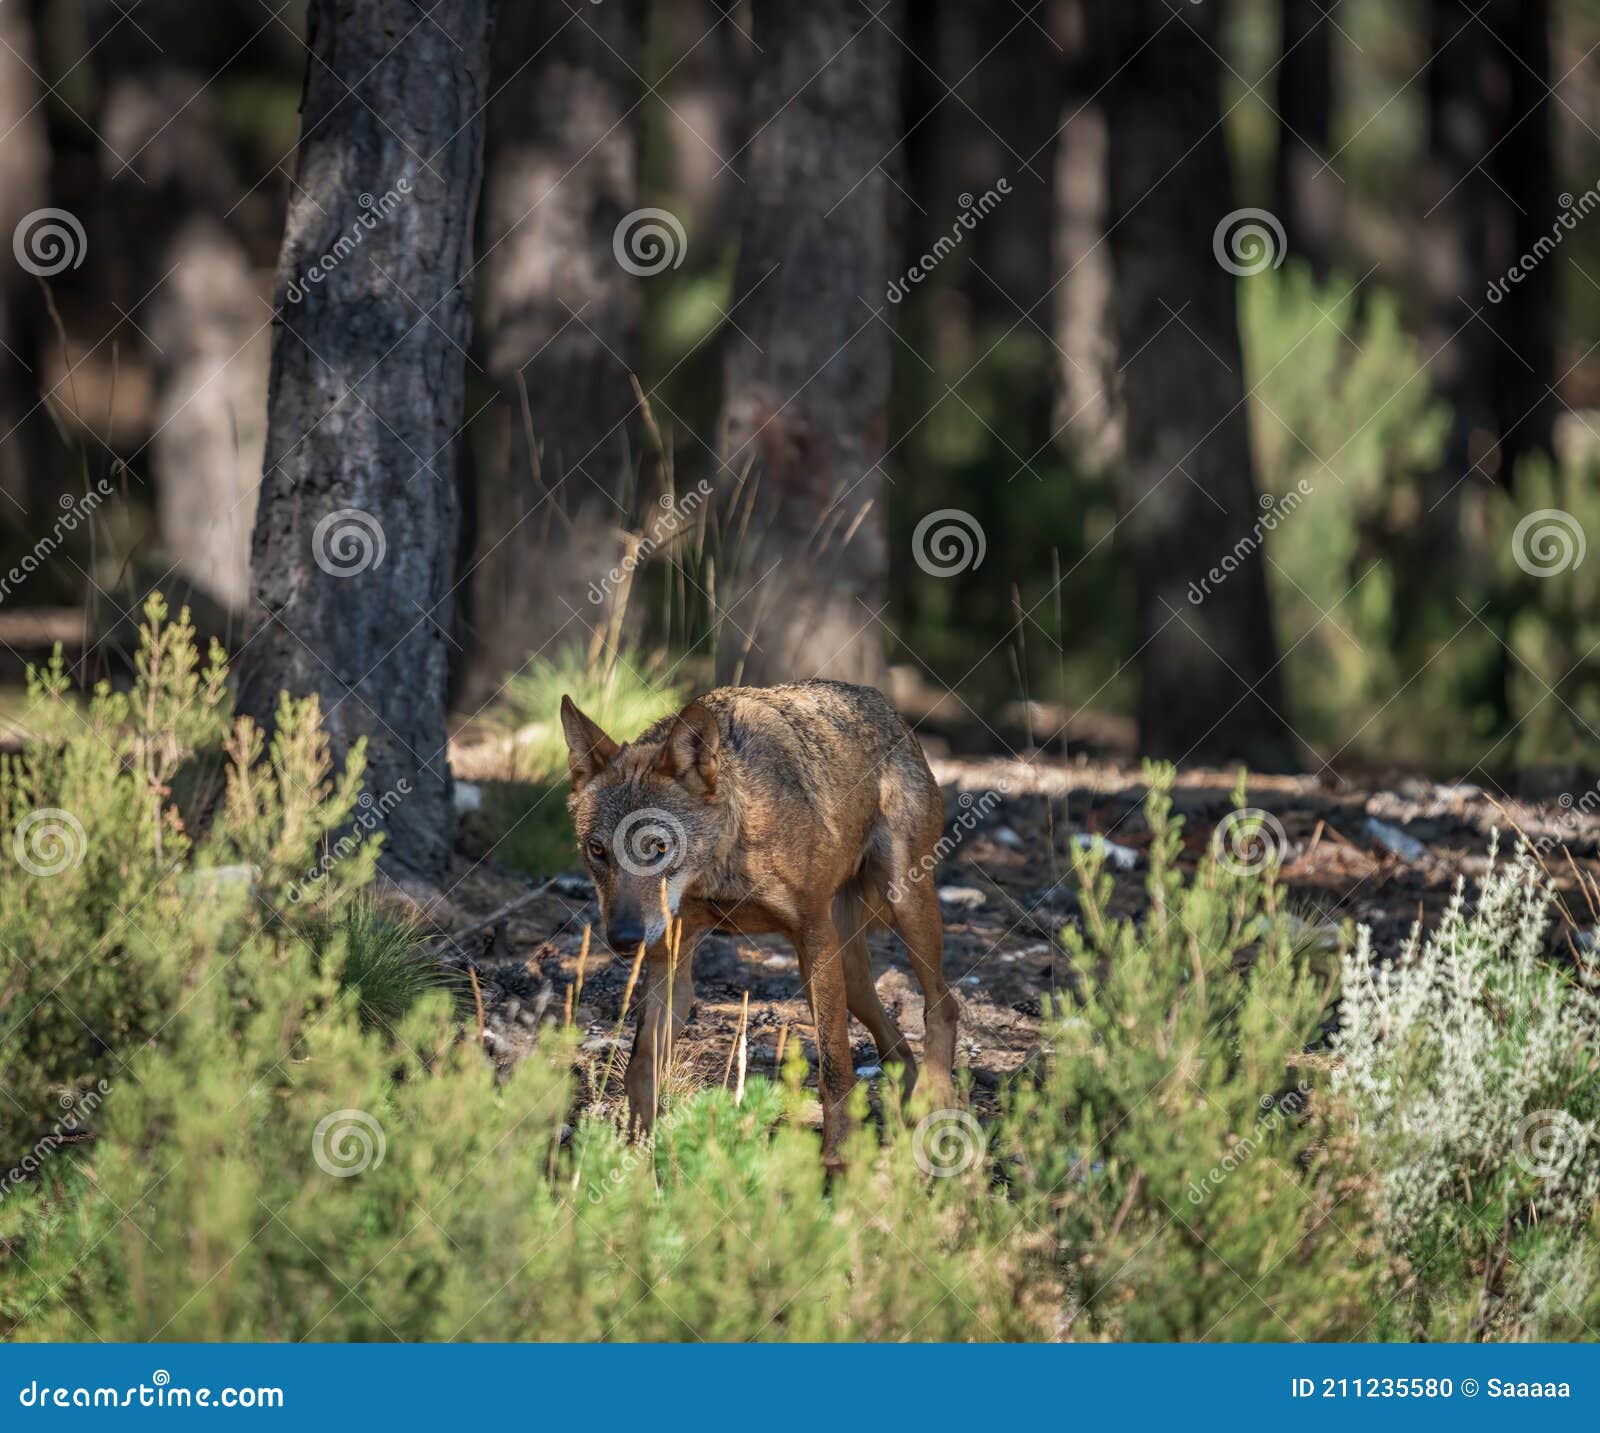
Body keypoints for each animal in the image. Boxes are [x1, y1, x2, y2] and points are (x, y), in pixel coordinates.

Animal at [563, 678, 953, 1157]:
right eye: (597, 851)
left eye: (659, 847)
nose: (623, 939)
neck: (724, 861)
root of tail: (883, 705)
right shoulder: (669, 963)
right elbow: (641, 1068)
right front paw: (636, 1158)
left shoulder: (814, 934)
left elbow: (835, 1069)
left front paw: (835, 1160)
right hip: (846, 973)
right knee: (896, 1049)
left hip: (898, 912)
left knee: (943, 1005)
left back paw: (937, 1102)